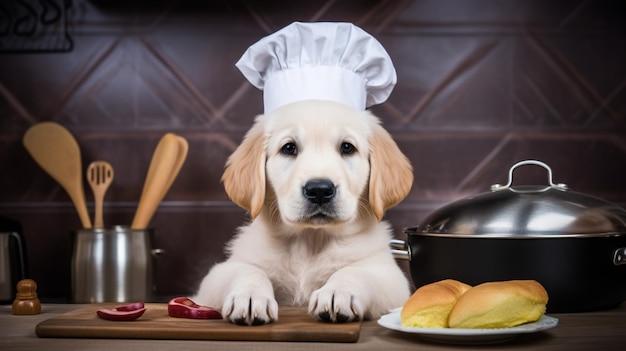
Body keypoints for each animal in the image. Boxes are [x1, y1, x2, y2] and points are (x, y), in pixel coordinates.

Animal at [193, 99, 412, 324]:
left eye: (347, 147)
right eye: (289, 148)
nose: (319, 190)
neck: (310, 241)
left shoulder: (390, 278)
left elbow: (354, 270)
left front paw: (336, 292)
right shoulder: (213, 281)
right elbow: (247, 269)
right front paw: (249, 296)